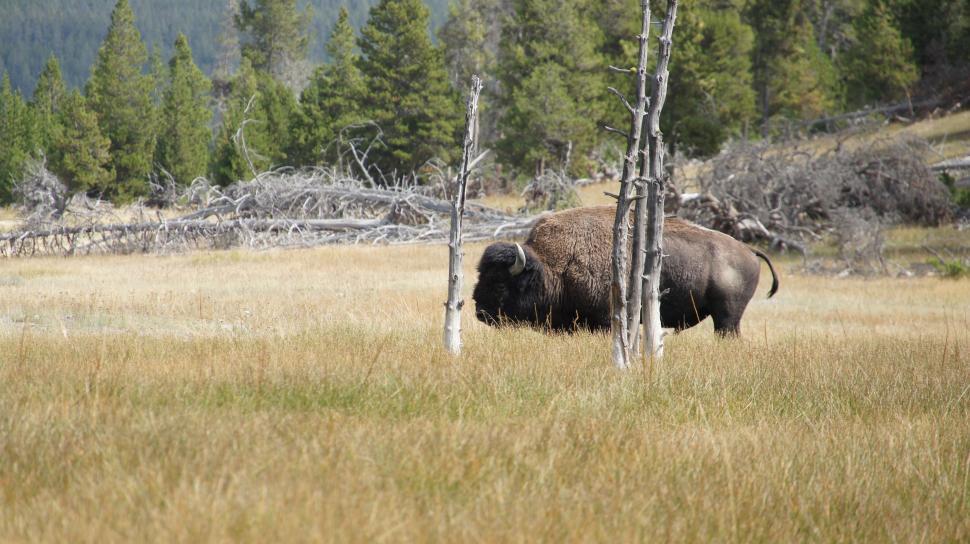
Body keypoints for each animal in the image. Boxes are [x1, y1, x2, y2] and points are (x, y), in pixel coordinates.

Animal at [473, 205, 778, 335]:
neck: (553, 265)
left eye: (500, 283)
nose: (479, 312)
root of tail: (749, 250)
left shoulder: (605, 319)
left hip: (727, 316)